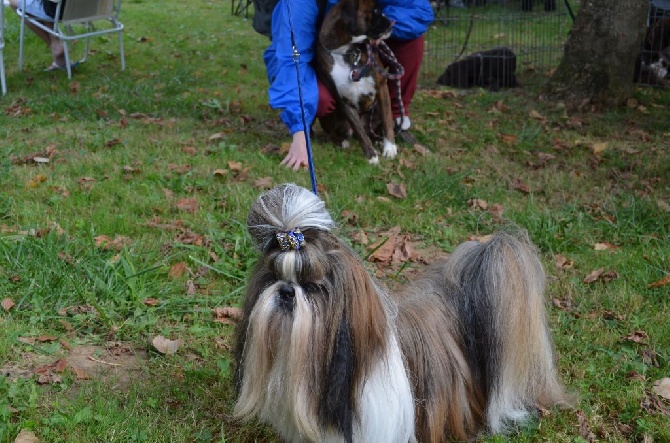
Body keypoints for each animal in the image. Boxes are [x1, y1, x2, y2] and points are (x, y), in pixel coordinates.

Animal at [316, 0, 400, 165]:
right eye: (375, 10)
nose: (391, 21)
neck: (347, 50)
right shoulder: (343, 100)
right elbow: (359, 130)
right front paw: (371, 155)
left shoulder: (382, 87)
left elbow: (387, 120)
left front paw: (389, 147)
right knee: (335, 133)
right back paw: (341, 141)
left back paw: (378, 140)